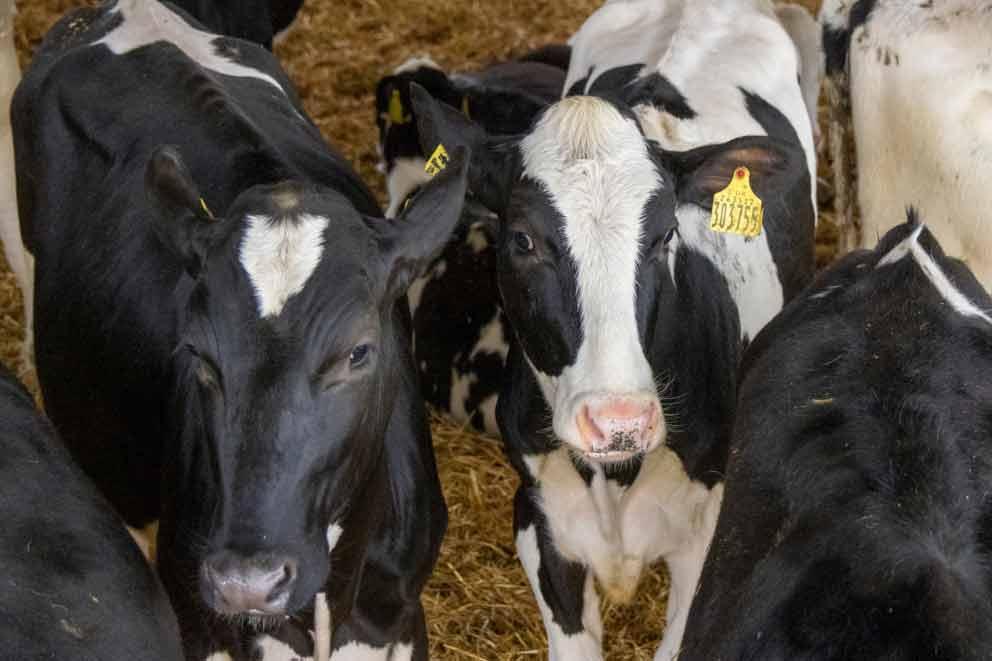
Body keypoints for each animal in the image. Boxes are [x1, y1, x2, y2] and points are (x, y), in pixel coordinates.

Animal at [410, 1, 812, 660]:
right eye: (522, 240)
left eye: (665, 234)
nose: (619, 420)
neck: (614, 477)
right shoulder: (538, 516)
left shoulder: (709, 532)